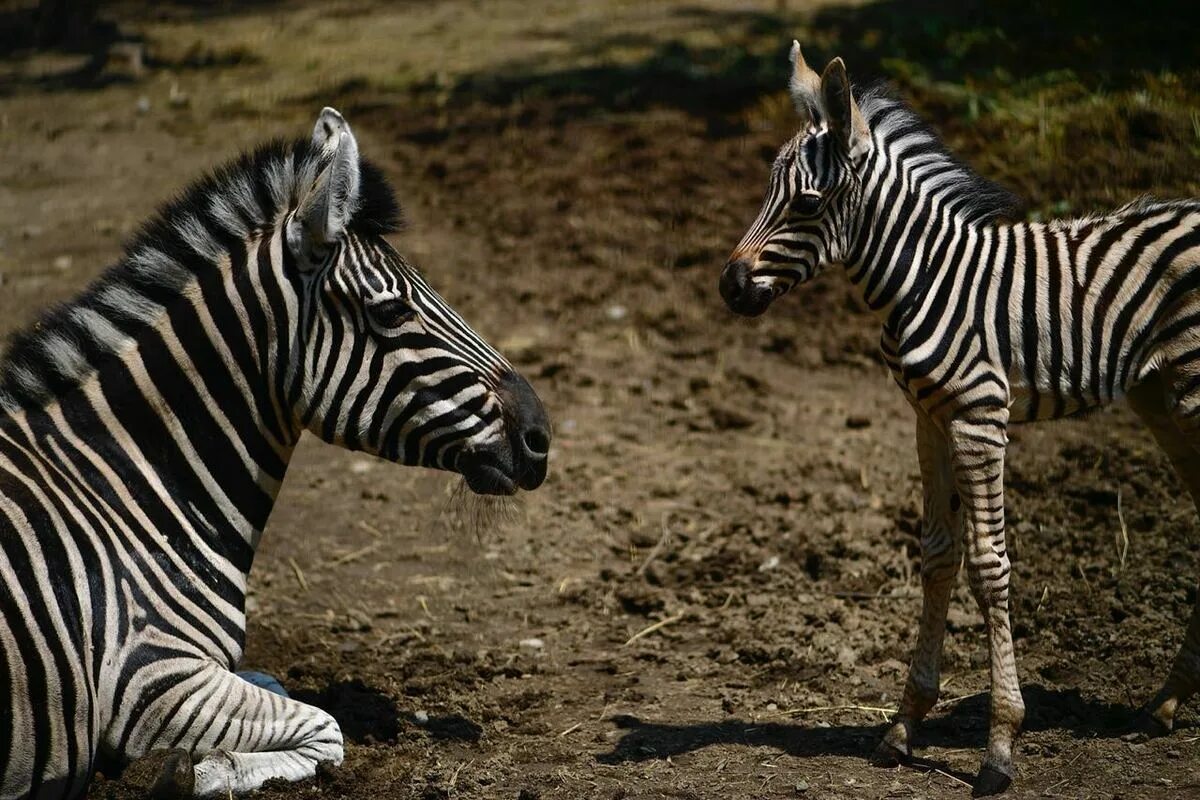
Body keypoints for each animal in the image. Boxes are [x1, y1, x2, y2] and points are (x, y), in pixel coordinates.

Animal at [0, 107, 552, 800]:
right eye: (391, 311)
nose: (540, 436)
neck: (118, 488)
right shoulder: (148, 676)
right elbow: (326, 729)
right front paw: (195, 770)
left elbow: (277, 684)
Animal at [715, 47, 1200, 796]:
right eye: (770, 189)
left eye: (806, 202)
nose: (729, 287)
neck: (925, 277)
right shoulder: (929, 417)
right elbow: (939, 556)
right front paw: (904, 725)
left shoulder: (979, 418)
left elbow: (990, 567)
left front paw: (1000, 745)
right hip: (1163, 398)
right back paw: (1169, 702)